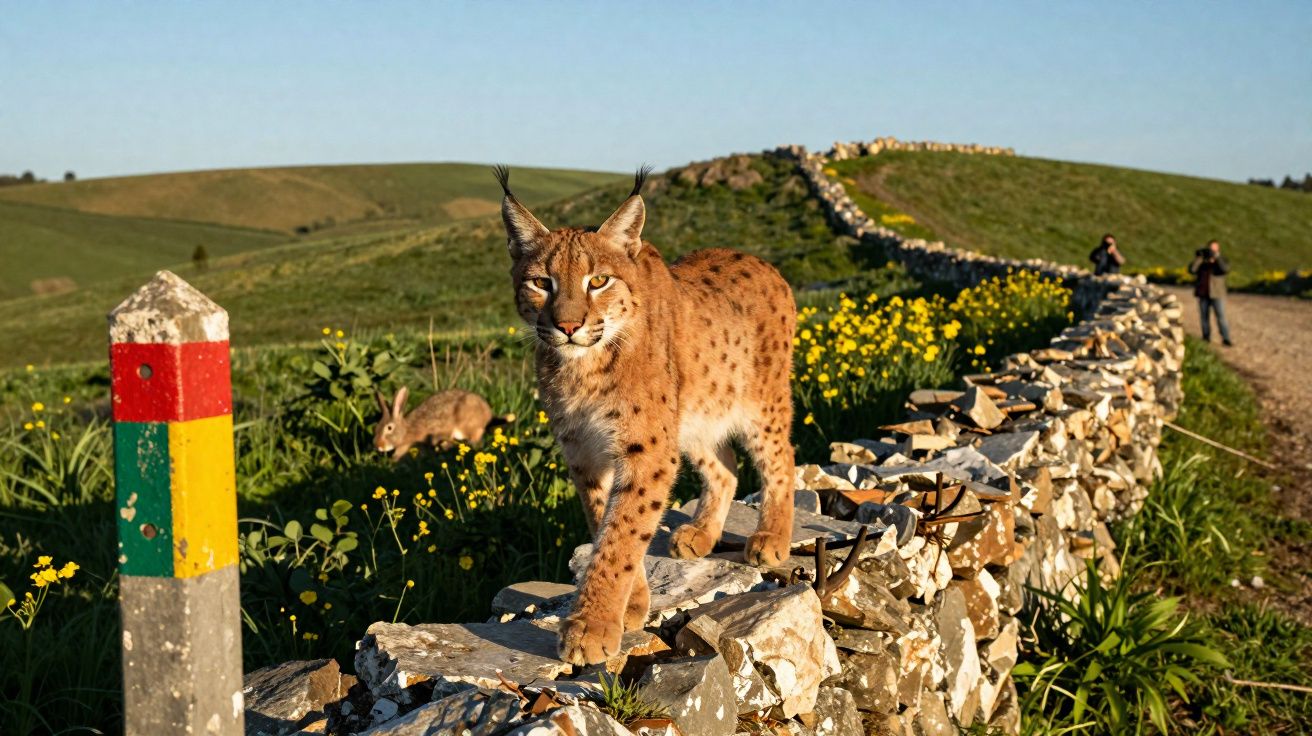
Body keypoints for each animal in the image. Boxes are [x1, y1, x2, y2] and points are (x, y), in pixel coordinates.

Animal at [373, 386, 514, 461]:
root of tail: (487, 416)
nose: (378, 446)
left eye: (389, 428)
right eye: (376, 427)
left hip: (466, 427)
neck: (408, 429)